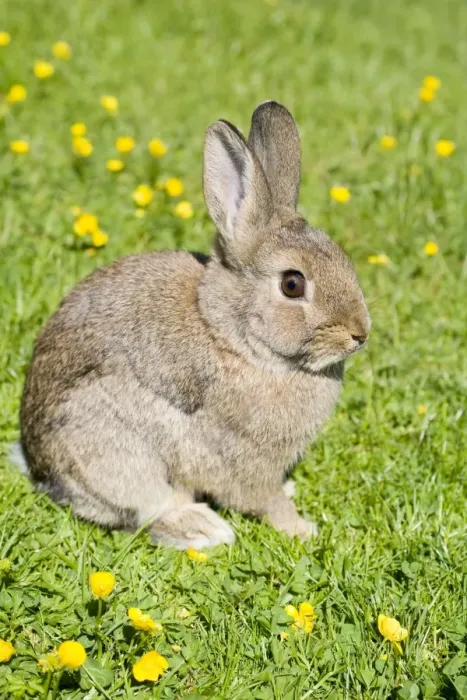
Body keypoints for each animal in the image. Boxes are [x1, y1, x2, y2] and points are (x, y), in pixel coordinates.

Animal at [20, 101, 370, 549]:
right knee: (144, 513)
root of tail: (39, 469)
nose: (359, 334)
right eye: (292, 284)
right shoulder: (242, 458)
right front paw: (302, 530)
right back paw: (204, 529)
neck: (231, 337)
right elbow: (266, 500)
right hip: (114, 454)